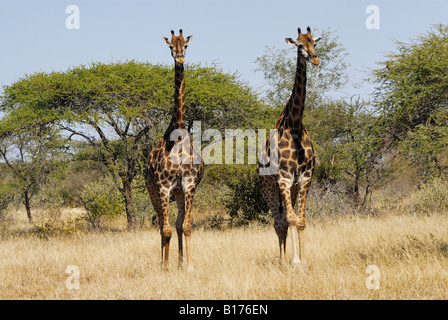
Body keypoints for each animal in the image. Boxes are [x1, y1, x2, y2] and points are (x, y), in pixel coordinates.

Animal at [258, 25, 320, 264]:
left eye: (314, 42)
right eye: (299, 45)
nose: (315, 58)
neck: (294, 125)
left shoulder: (304, 178)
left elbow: (300, 220)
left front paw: (303, 258)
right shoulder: (283, 178)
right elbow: (291, 220)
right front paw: (294, 261)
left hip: (291, 187)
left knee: (284, 219)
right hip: (268, 187)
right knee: (278, 222)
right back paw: (283, 259)